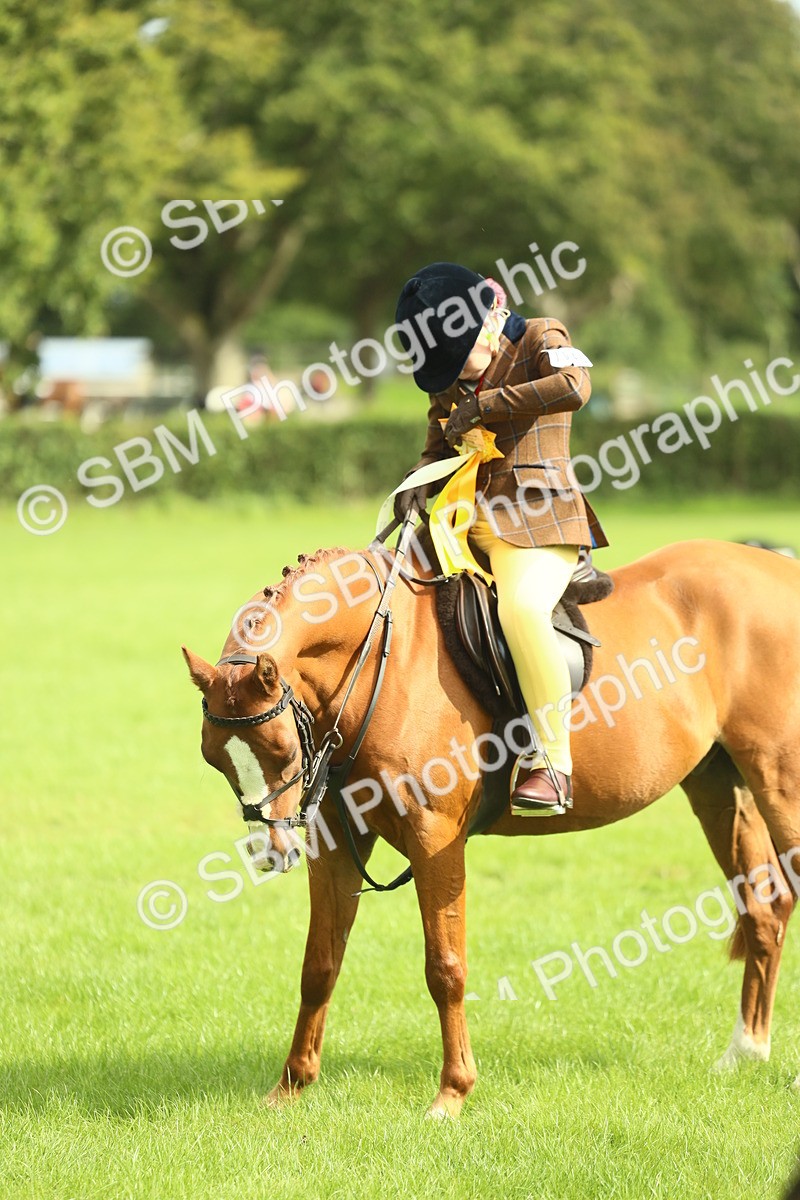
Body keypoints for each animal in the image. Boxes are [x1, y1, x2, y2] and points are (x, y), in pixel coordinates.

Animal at [182, 535, 800, 1118]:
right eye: (214, 759)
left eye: (283, 750)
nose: (269, 851)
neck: (383, 662)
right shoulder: (339, 846)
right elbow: (319, 965)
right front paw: (290, 1087)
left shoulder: (435, 841)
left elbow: (445, 968)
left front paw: (452, 1094)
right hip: (719, 787)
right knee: (763, 907)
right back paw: (744, 1052)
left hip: (778, 781)